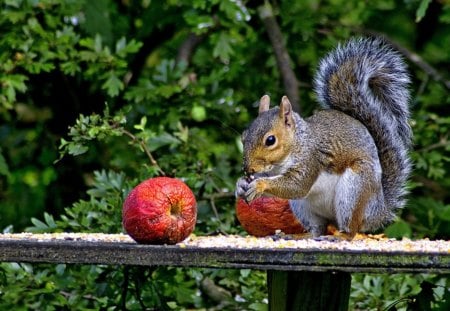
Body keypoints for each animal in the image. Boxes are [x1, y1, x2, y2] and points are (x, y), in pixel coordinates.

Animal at [236, 36, 412, 239]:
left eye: (270, 140)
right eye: (244, 136)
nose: (248, 169)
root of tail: (377, 210)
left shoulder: (310, 160)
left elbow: (297, 186)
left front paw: (259, 185)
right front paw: (240, 185)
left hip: (353, 191)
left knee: (351, 229)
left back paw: (340, 236)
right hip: (303, 207)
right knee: (317, 228)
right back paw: (301, 236)